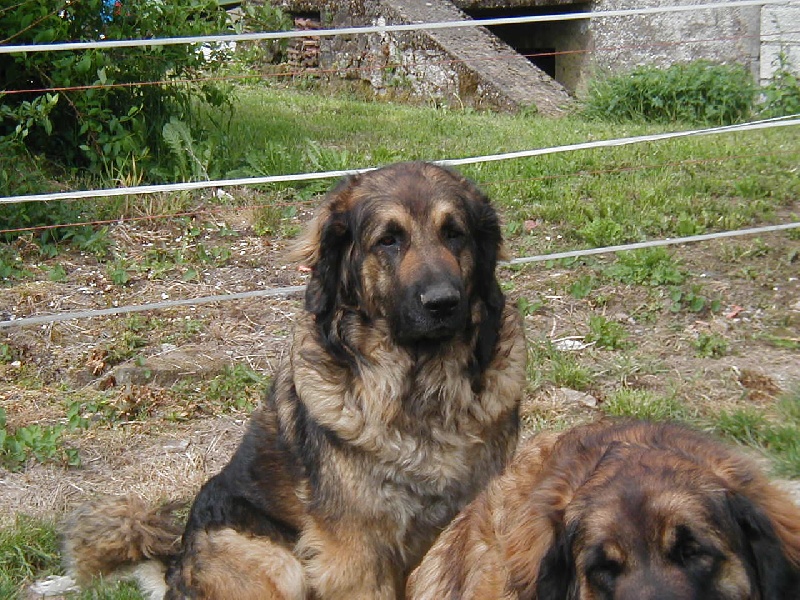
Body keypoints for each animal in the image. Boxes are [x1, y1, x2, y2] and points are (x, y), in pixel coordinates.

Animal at [62, 162, 524, 596]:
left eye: (454, 234)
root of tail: (176, 566)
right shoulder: (356, 556)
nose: (443, 303)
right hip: (276, 561)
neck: (423, 388)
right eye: (388, 240)